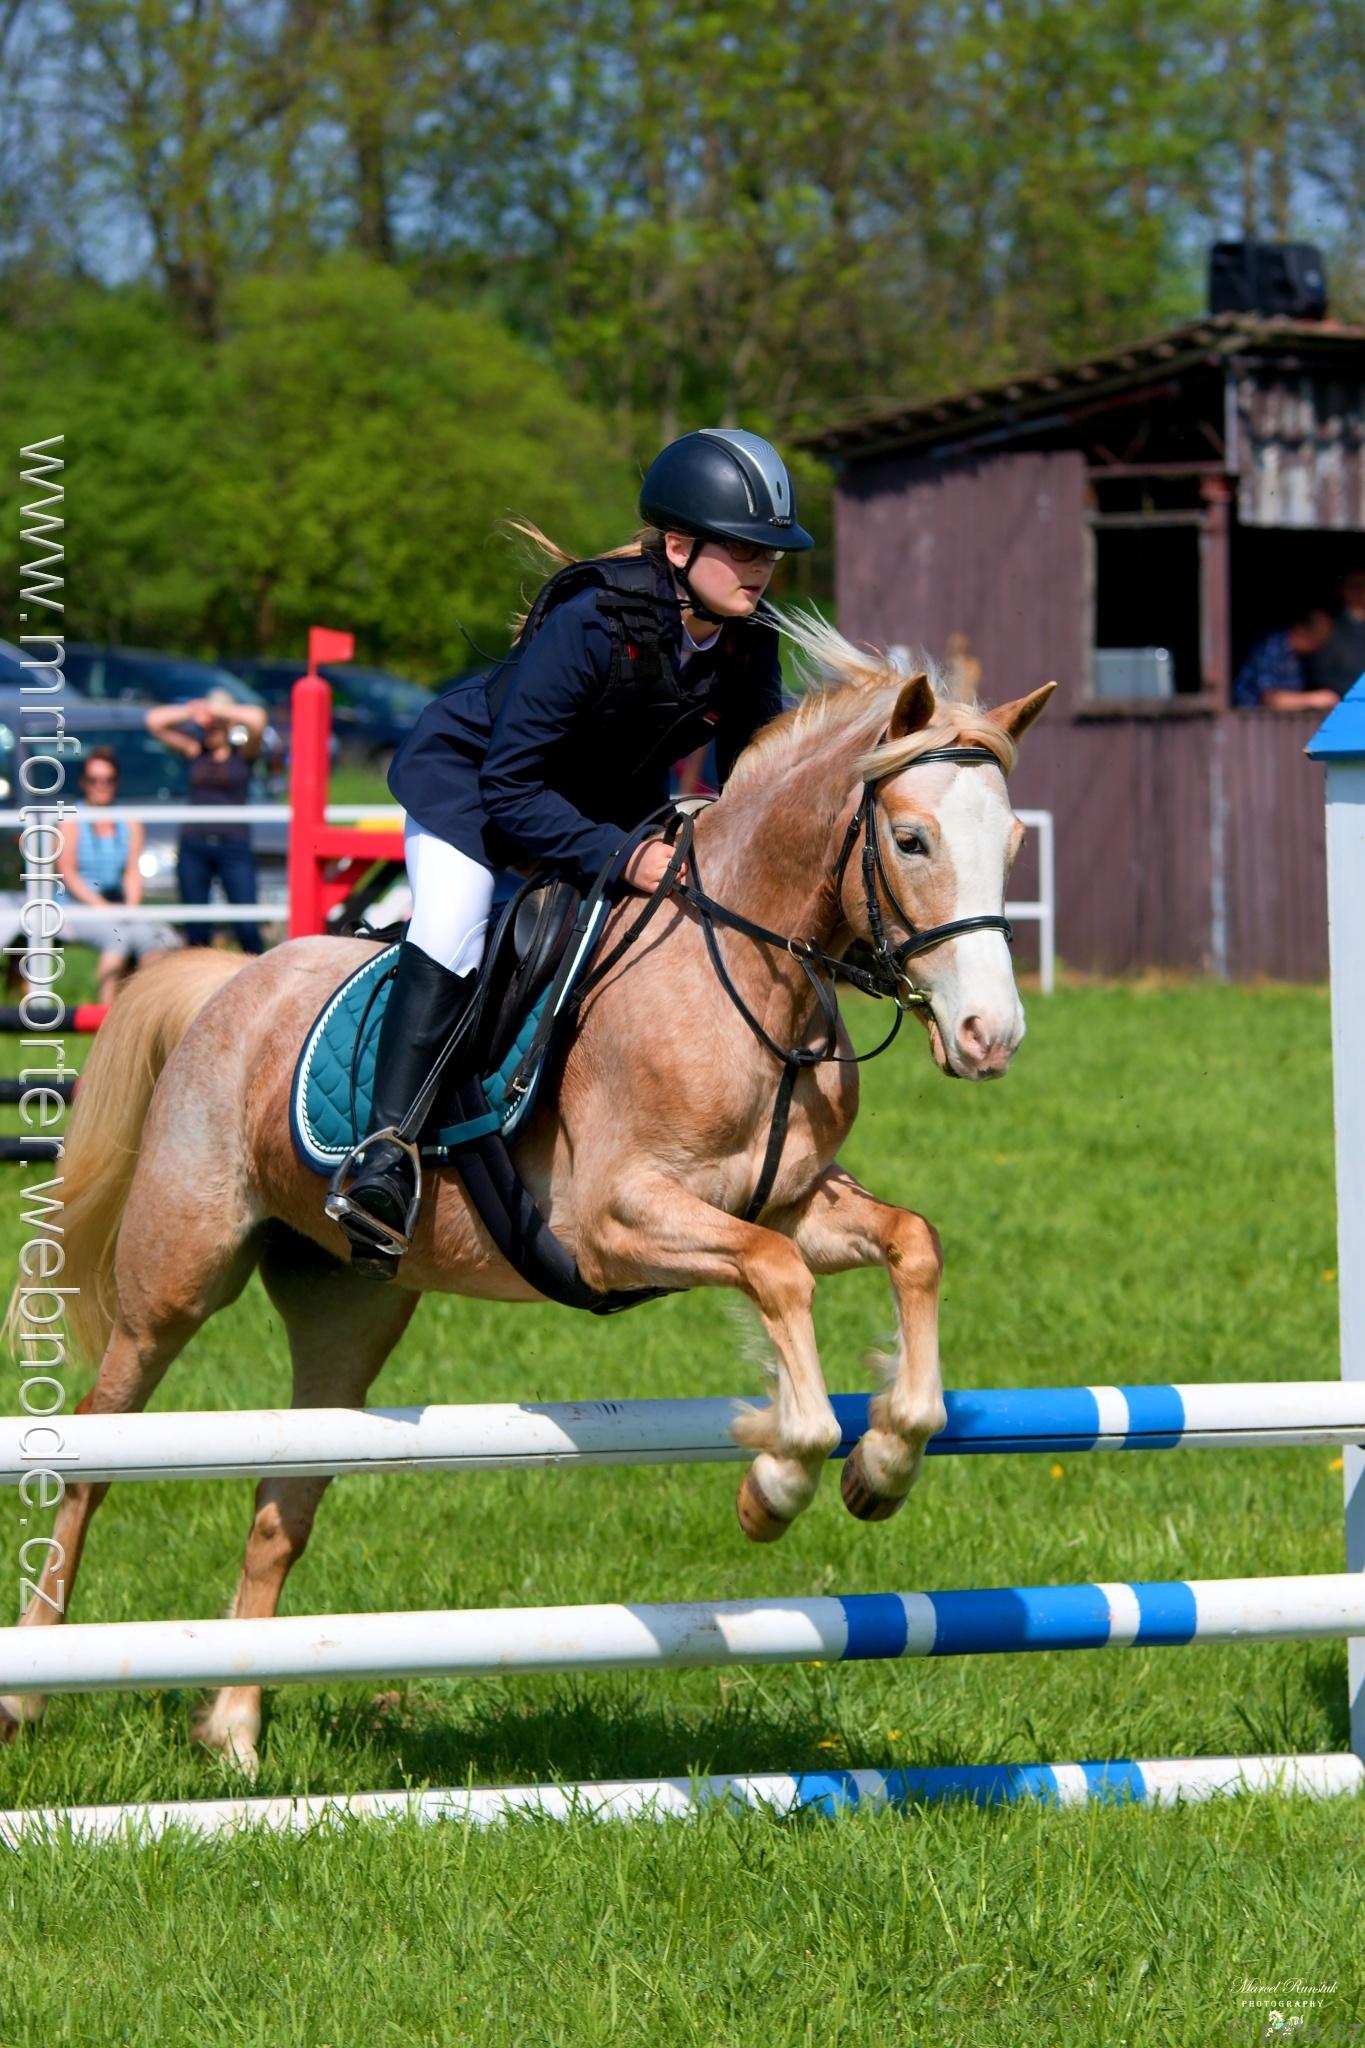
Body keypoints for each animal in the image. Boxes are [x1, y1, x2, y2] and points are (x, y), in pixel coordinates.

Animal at [3, 616, 1053, 1771]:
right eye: (910, 841)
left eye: (1010, 843)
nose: (990, 1039)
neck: (747, 972)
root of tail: (228, 981)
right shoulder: (615, 1224)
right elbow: (779, 1280)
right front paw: (777, 1483)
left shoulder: (790, 1201)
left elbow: (910, 1242)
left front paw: (885, 1460)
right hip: (178, 1270)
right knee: (97, 1446)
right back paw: (33, 1691)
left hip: (349, 1311)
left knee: (288, 1493)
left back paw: (233, 1730)